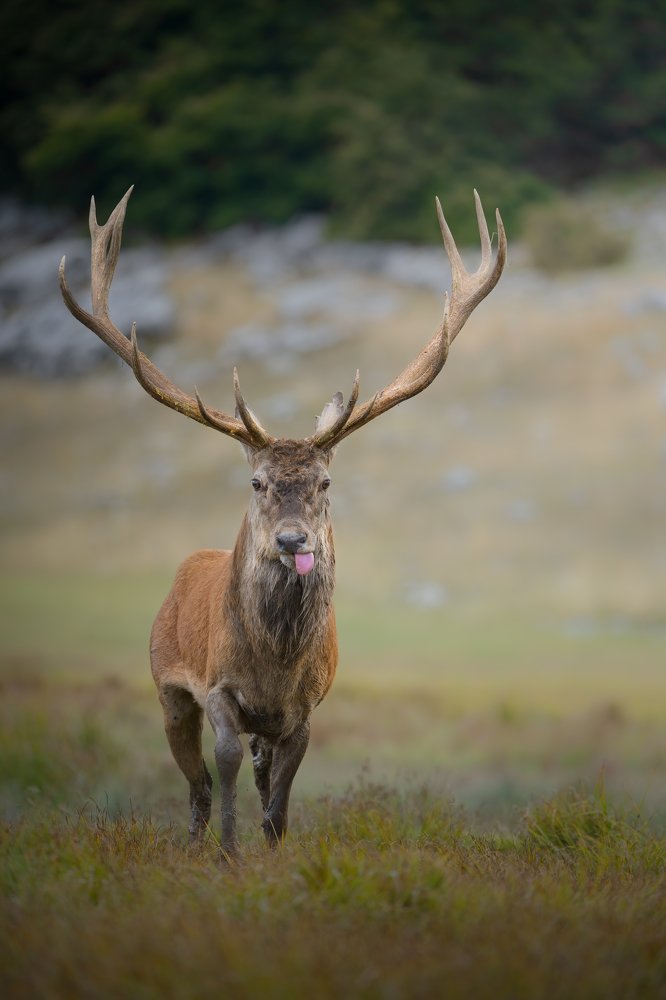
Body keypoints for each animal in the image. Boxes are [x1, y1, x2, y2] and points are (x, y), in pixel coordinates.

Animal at [59, 187, 506, 859]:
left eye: (325, 483)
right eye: (257, 483)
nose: (293, 539)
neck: (274, 665)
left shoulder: (304, 709)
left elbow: (281, 796)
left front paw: (272, 853)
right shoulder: (217, 689)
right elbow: (222, 766)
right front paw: (227, 854)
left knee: (255, 773)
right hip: (166, 685)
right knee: (195, 781)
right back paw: (194, 843)